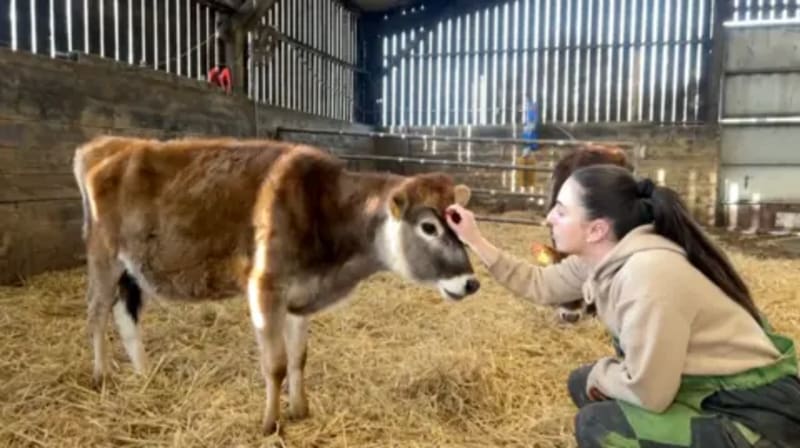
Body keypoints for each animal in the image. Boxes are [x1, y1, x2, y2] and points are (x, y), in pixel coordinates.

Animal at [72, 136, 480, 434]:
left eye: (459, 220)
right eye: (428, 226)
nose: (471, 282)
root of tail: (106, 144)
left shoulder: (300, 295)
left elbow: (299, 357)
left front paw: (300, 410)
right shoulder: (265, 289)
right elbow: (276, 364)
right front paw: (271, 424)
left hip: (130, 269)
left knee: (125, 316)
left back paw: (145, 376)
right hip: (104, 256)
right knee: (96, 312)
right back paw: (101, 376)